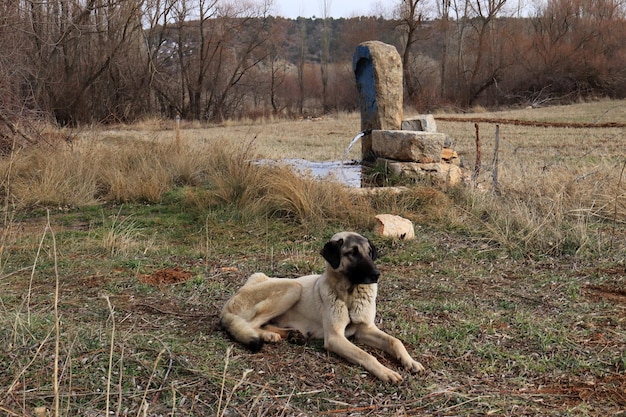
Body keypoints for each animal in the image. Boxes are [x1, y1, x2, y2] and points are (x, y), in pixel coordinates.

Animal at [219, 232, 424, 382]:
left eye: (369, 252)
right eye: (352, 253)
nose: (376, 274)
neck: (349, 294)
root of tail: (229, 302)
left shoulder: (364, 330)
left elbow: (395, 341)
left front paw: (410, 361)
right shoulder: (335, 338)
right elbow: (365, 355)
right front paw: (385, 371)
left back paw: (290, 334)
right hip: (293, 287)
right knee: (252, 324)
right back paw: (269, 335)